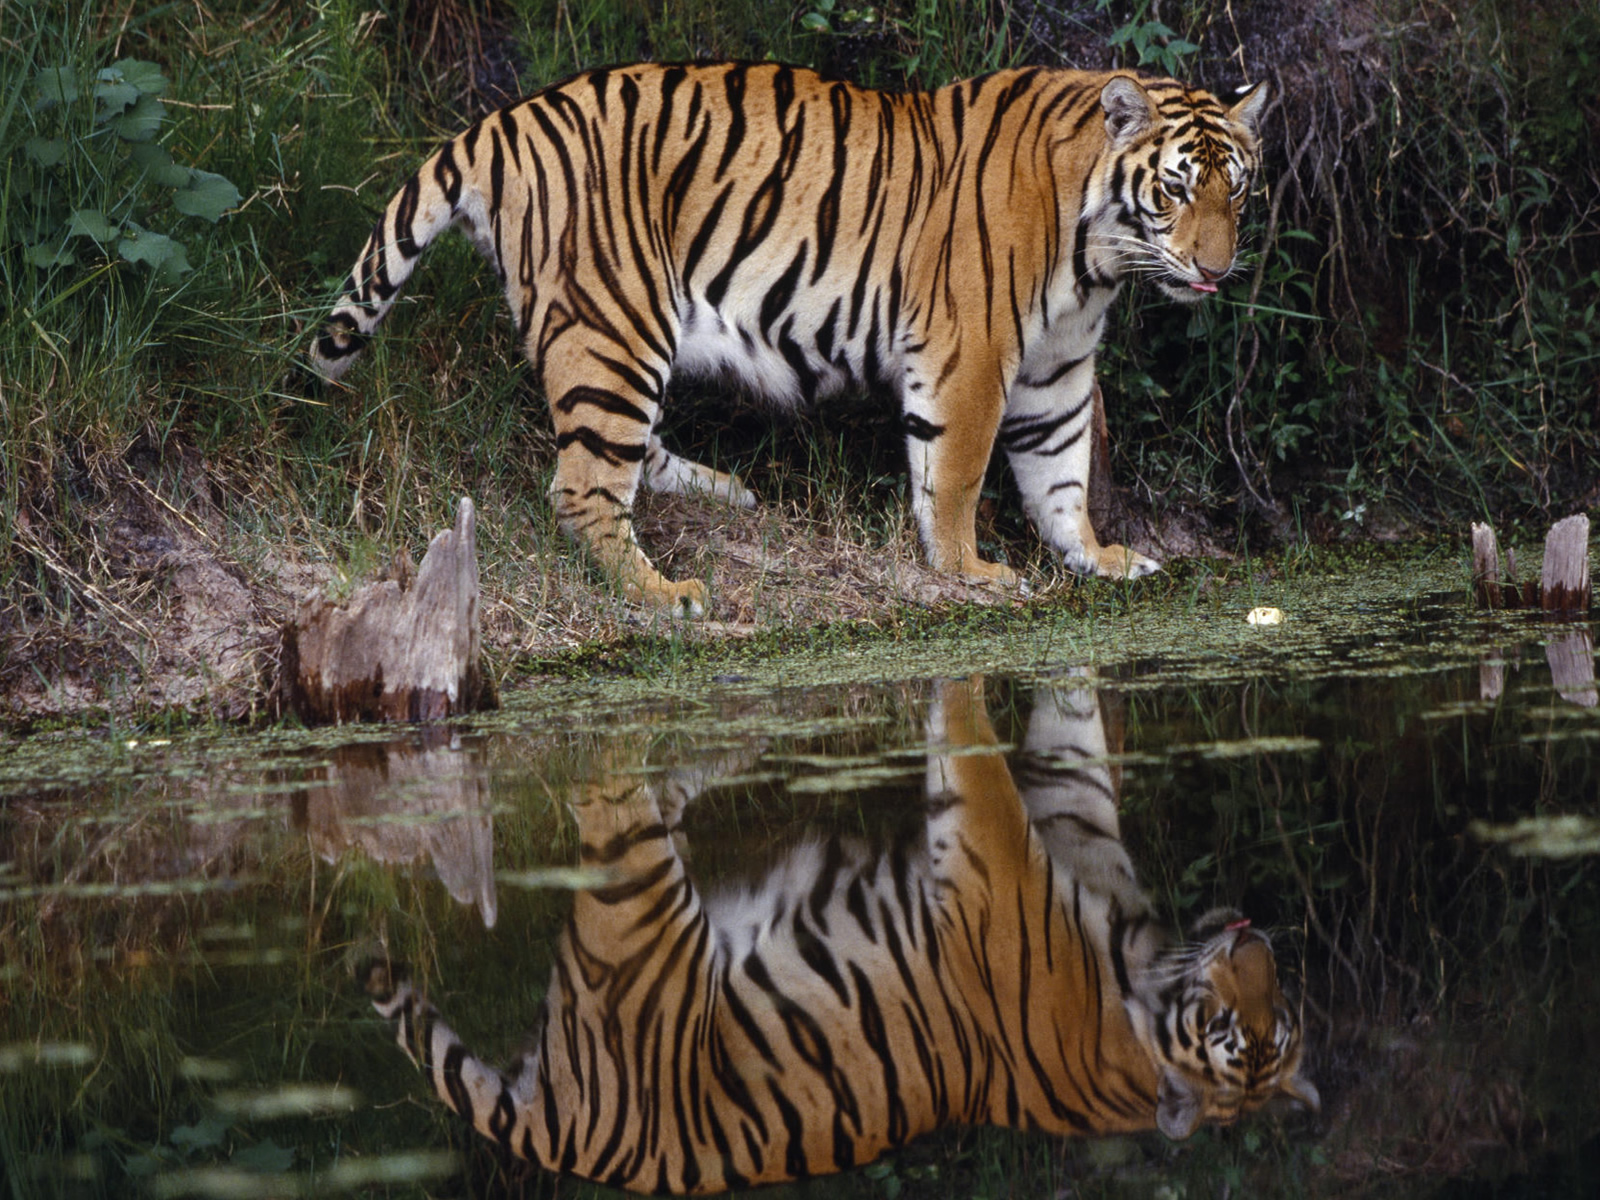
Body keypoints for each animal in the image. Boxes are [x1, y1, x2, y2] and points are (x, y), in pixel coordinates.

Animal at [311, 63, 1269, 614]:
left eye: (1237, 191)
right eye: (1175, 190)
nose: (1216, 270)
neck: (1098, 256)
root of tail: (503, 122)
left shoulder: (1058, 365)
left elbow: (1063, 471)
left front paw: (1098, 558)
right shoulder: (971, 352)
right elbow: (957, 472)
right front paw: (971, 572)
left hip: (618, 339)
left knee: (625, 452)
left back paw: (722, 492)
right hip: (614, 322)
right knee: (582, 487)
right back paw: (666, 594)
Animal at [361, 677, 1318, 1193]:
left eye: (1269, 1026)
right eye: (1233, 1029)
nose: (1257, 943)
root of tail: (575, 1138)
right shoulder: (1019, 853)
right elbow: (1013, 753)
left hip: (631, 905)